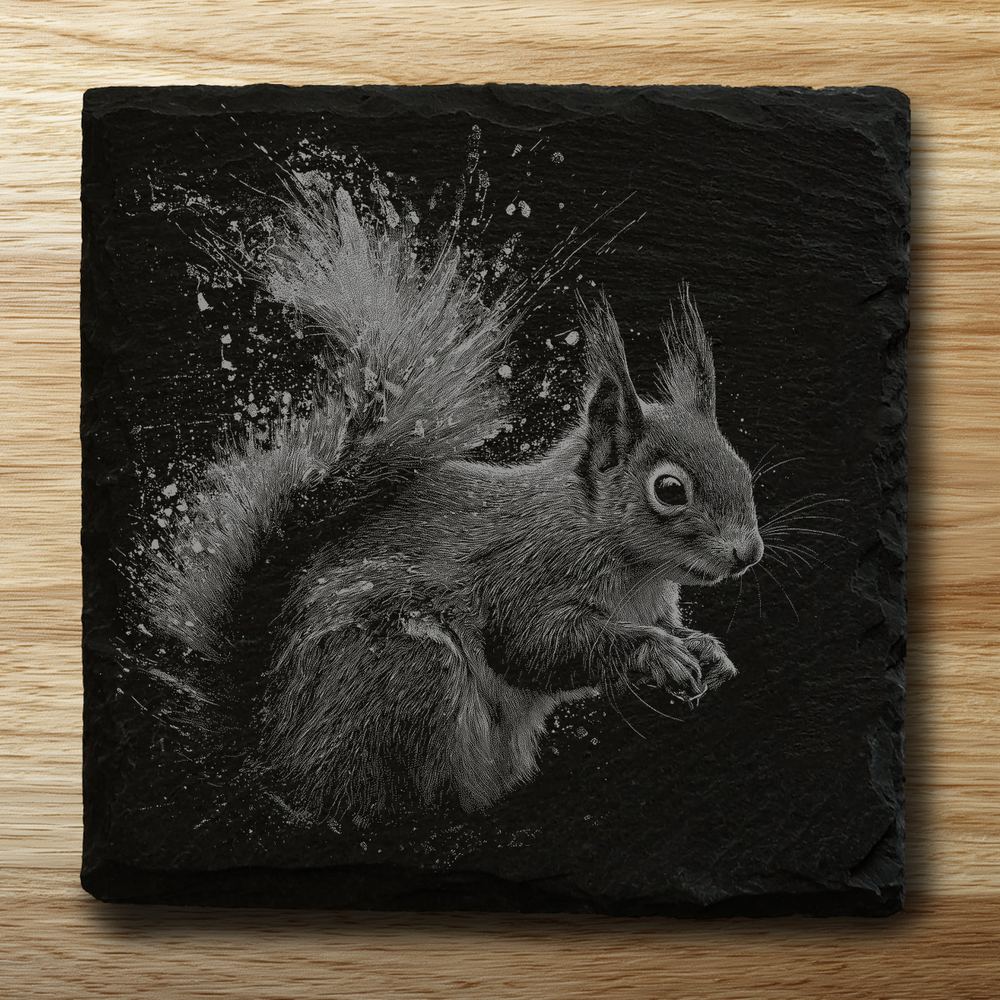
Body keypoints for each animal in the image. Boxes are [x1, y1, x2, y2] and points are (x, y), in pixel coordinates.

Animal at [143, 182, 764, 821]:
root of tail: (272, 751)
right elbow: (537, 646)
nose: (749, 553)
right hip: (411, 671)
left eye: (742, 468)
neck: (623, 558)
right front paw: (653, 652)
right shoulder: (524, 580)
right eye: (670, 490)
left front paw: (704, 649)